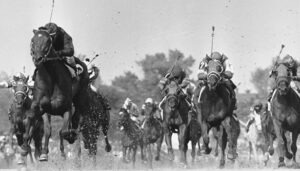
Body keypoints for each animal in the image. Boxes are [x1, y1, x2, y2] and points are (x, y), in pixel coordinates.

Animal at [22, 29, 89, 162]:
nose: (38, 58)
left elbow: (63, 131)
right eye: (33, 40)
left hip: (80, 101)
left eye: (48, 41)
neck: (52, 78)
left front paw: (64, 151)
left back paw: (77, 154)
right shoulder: (42, 108)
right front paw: (41, 152)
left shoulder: (67, 108)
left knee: (77, 125)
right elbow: (46, 129)